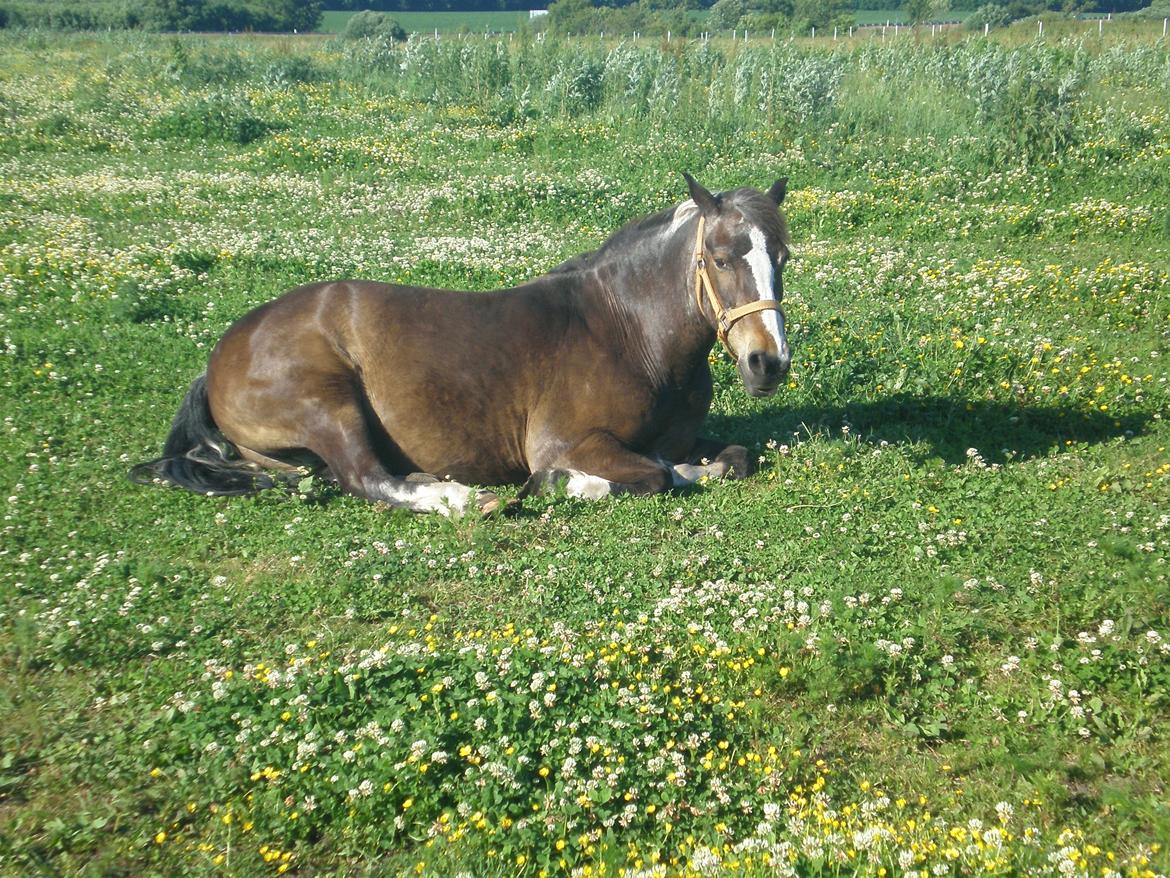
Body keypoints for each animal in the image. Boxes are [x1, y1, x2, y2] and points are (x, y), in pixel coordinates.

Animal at [129, 173, 793, 516]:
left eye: (782, 258)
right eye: (721, 257)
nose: (768, 363)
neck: (631, 333)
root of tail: (221, 354)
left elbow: (730, 458)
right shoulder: (568, 442)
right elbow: (652, 475)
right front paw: (564, 484)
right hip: (327, 406)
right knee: (365, 478)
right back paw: (463, 497)